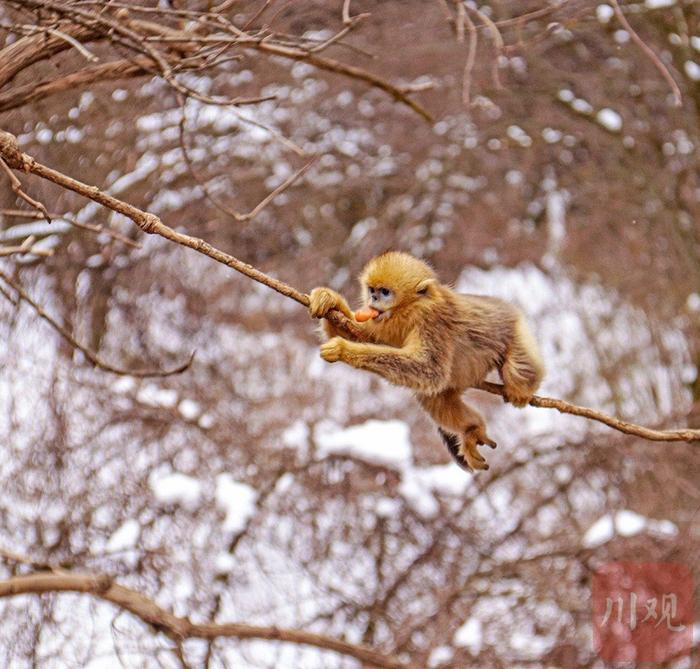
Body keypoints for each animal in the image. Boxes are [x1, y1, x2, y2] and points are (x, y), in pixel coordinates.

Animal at [308, 250, 544, 470]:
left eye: (385, 292)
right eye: (372, 290)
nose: (373, 299)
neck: (412, 309)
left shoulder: (432, 321)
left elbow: (429, 370)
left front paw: (342, 349)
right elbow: (360, 334)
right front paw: (330, 301)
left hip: (517, 331)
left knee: (517, 370)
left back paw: (521, 390)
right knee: (434, 399)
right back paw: (471, 429)